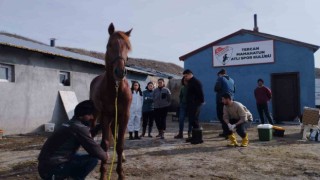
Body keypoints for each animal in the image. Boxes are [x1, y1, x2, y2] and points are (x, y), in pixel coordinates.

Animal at [89, 23, 132, 179]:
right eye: (109, 45)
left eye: (128, 47)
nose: (120, 72)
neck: (116, 89)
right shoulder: (105, 115)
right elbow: (105, 143)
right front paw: (103, 173)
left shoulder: (124, 115)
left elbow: (120, 144)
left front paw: (121, 173)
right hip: (96, 114)